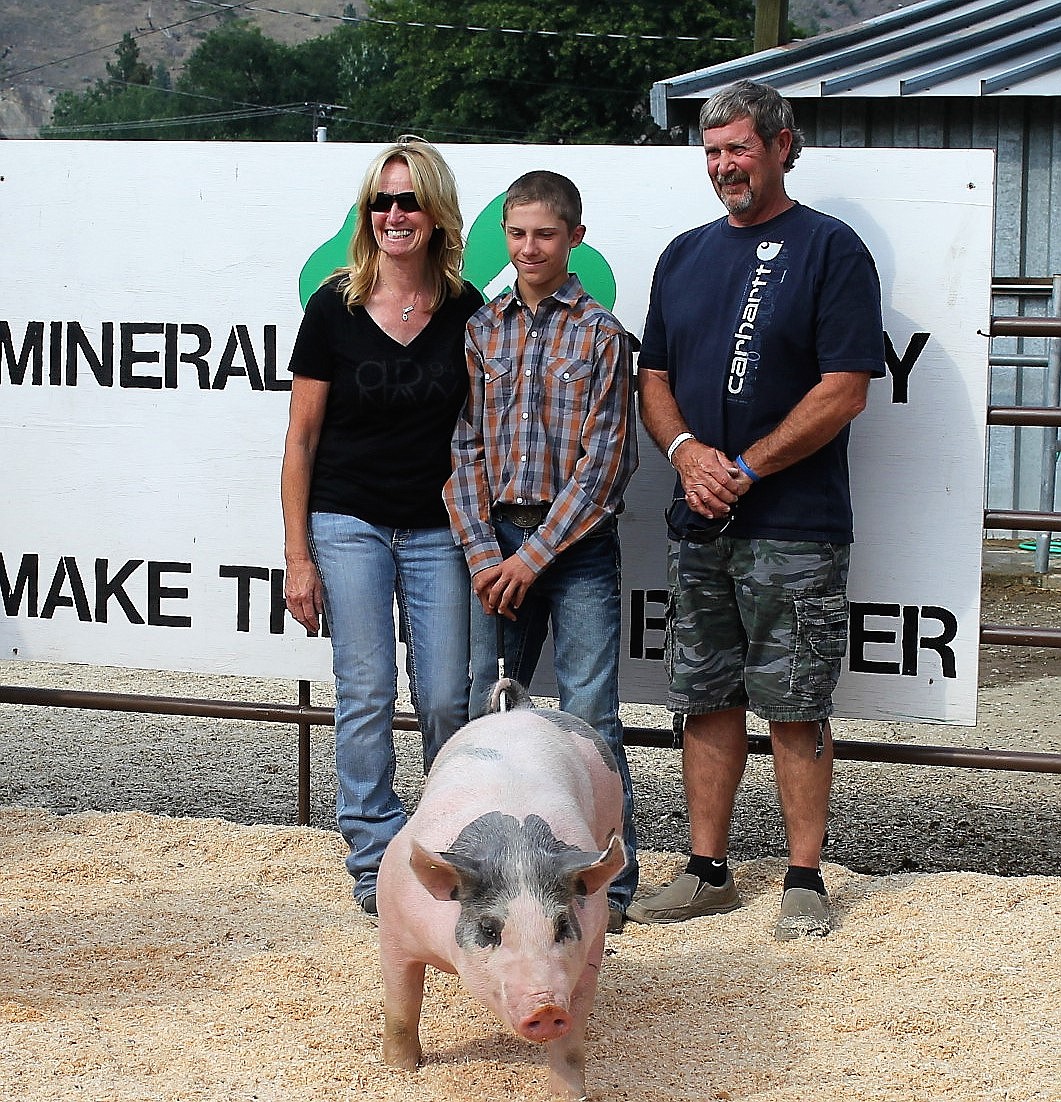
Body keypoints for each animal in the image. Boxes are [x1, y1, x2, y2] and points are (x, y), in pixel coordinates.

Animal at [374, 674, 625, 1097]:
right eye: (489, 929)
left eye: (561, 927)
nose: (546, 1007)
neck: (515, 850)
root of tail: (523, 709)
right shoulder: (394, 928)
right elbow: (401, 1007)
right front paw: (400, 1070)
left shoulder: (592, 939)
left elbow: (572, 1038)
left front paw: (570, 1094)